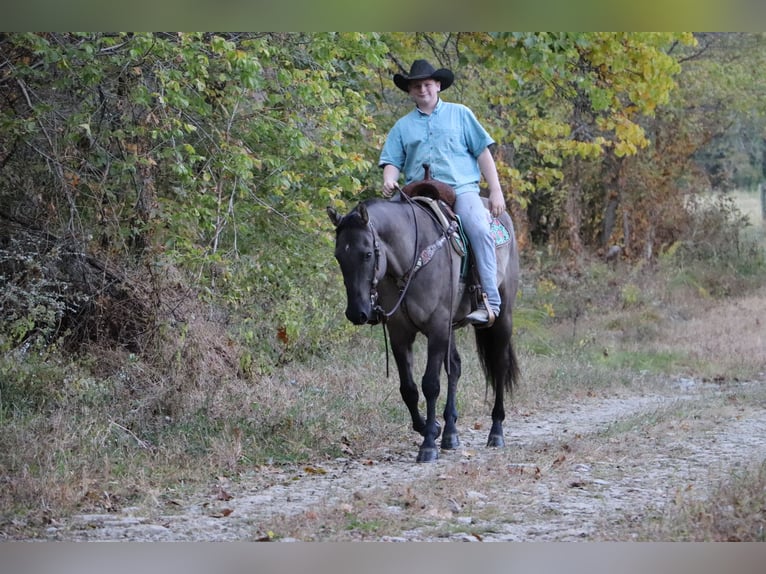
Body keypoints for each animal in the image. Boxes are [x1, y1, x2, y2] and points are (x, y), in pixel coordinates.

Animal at [328, 191, 520, 466]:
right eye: (338, 256)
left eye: (366, 254)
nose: (357, 312)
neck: (413, 257)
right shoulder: (400, 333)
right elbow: (408, 389)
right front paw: (433, 429)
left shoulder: (437, 327)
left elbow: (430, 384)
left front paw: (428, 443)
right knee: (455, 368)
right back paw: (451, 434)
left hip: (502, 317)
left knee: (499, 365)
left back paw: (496, 431)